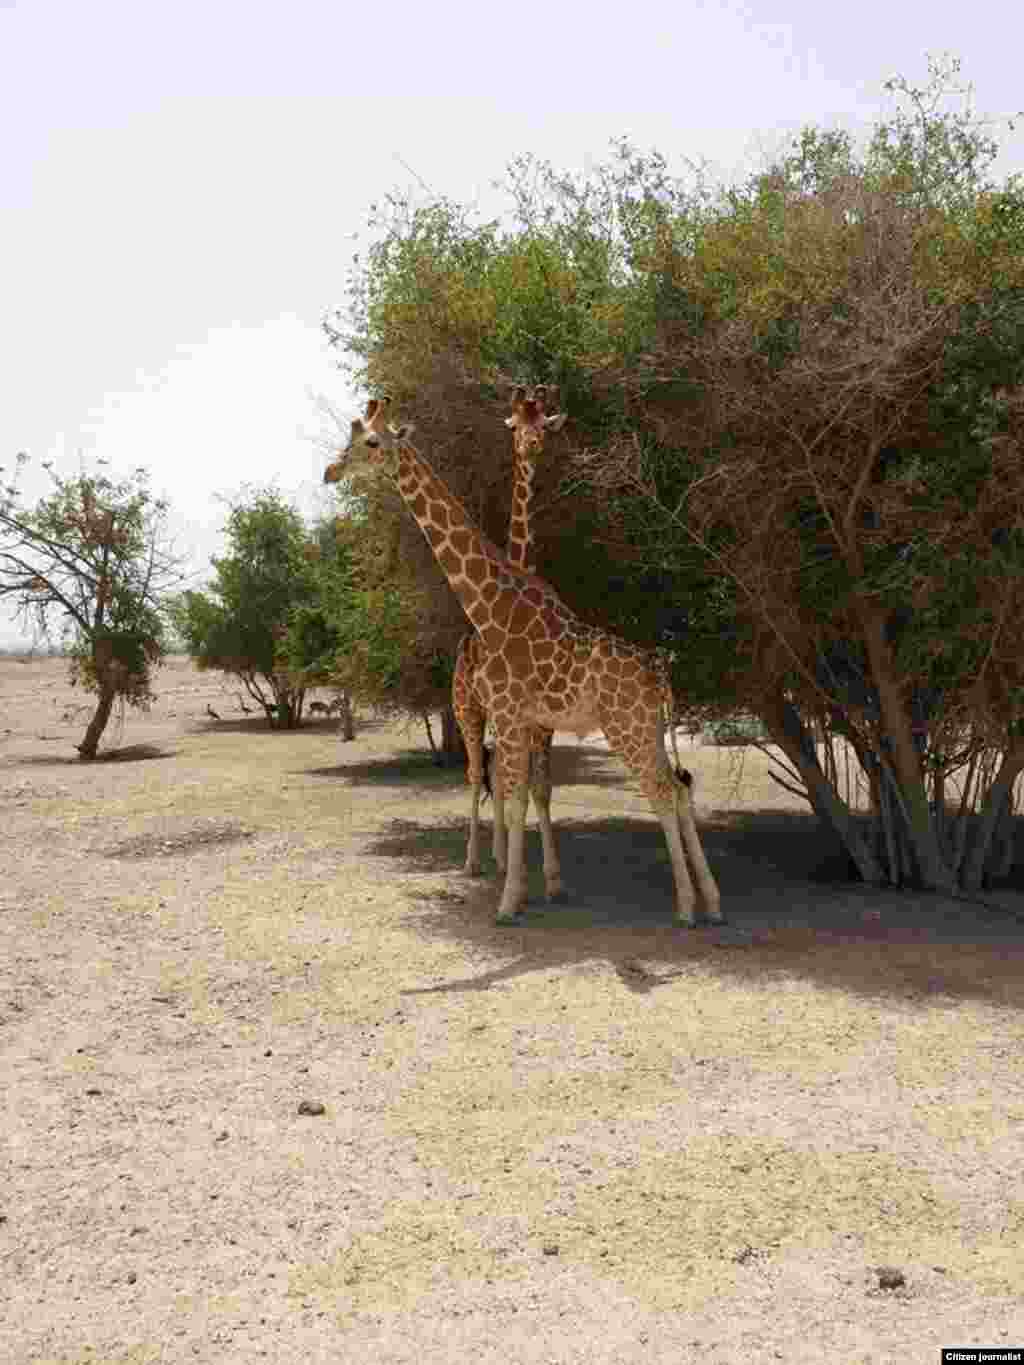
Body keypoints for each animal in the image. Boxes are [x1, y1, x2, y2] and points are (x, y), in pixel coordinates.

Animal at [325, 398, 722, 927]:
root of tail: (659, 670)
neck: (491, 608)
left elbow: (518, 796)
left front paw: (511, 901)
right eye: (351, 436)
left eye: (371, 441)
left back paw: (685, 908)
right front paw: (528, 886)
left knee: (660, 790)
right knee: (676, 788)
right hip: (649, 728)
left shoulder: (516, 717)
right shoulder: (521, 719)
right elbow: (517, 792)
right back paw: (711, 903)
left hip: (623, 728)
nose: (330, 471)